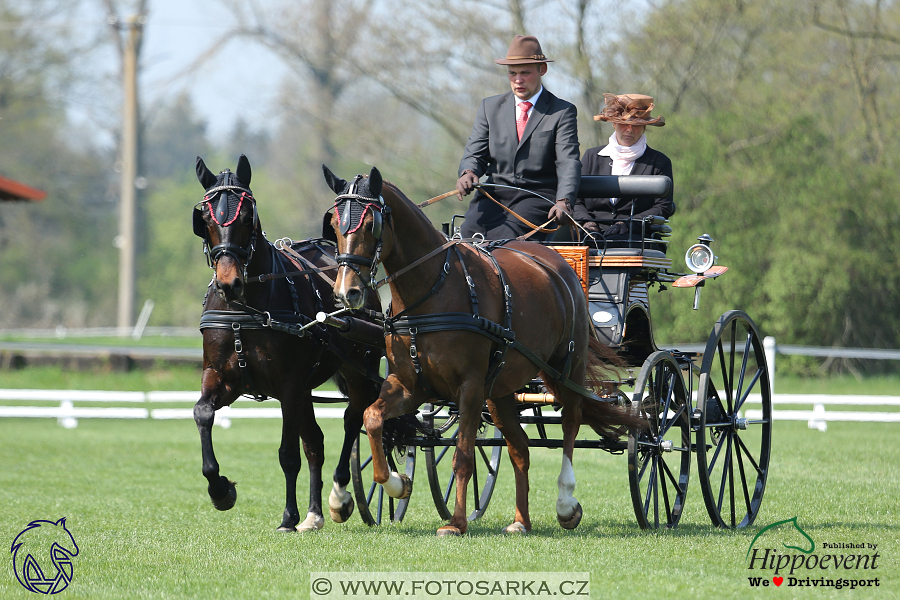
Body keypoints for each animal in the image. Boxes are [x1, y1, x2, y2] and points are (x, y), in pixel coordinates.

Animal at [194, 157, 384, 532]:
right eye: (205, 218)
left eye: (247, 217)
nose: (229, 283)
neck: (245, 310)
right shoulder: (223, 377)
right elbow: (203, 412)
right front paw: (220, 489)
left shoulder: (288, 385)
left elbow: (287, 453)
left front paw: (287, 517)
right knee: (316, 442)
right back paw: (314, 513)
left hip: (355, 370)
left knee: (353, 417)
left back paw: (339, 497)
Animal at [322, 166, 640, 536]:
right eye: (334, 223)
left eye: (370, 223)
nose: (346, 292)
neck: (433, 290)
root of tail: (556, 263)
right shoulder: (410, 385)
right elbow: (372, 418)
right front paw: (398, 484)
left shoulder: (470, 386)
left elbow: (463, 456)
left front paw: (456, 523)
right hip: (500, 391)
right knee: (520, 447)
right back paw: (521, 521)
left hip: (566, 369)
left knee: (570, 425)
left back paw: (565, 504)